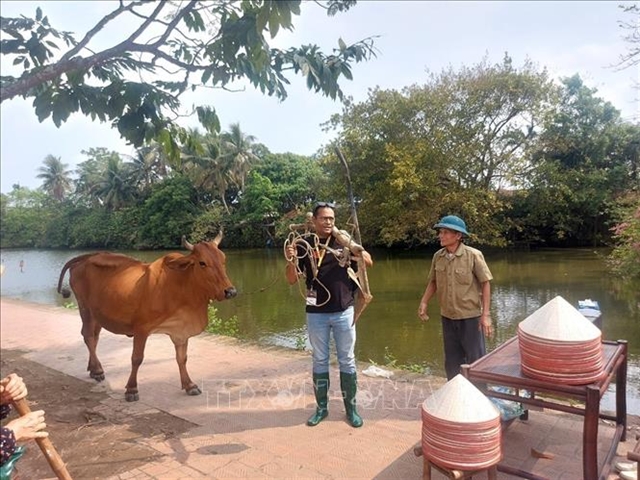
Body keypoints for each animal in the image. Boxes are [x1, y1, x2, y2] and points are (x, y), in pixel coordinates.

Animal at [57, 232, 238, 402]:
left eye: (223, 260)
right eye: (202, 263)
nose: (230, 291)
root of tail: (86, 257)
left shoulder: (180, 330)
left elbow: (182, 358)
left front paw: (189, 385)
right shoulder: (141, 329)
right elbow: (137, 358)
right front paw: (131, 390)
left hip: (97, 314)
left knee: (94, 337)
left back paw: (94, 369)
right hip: (84, 307)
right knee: (88, 336)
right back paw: (98, 370)